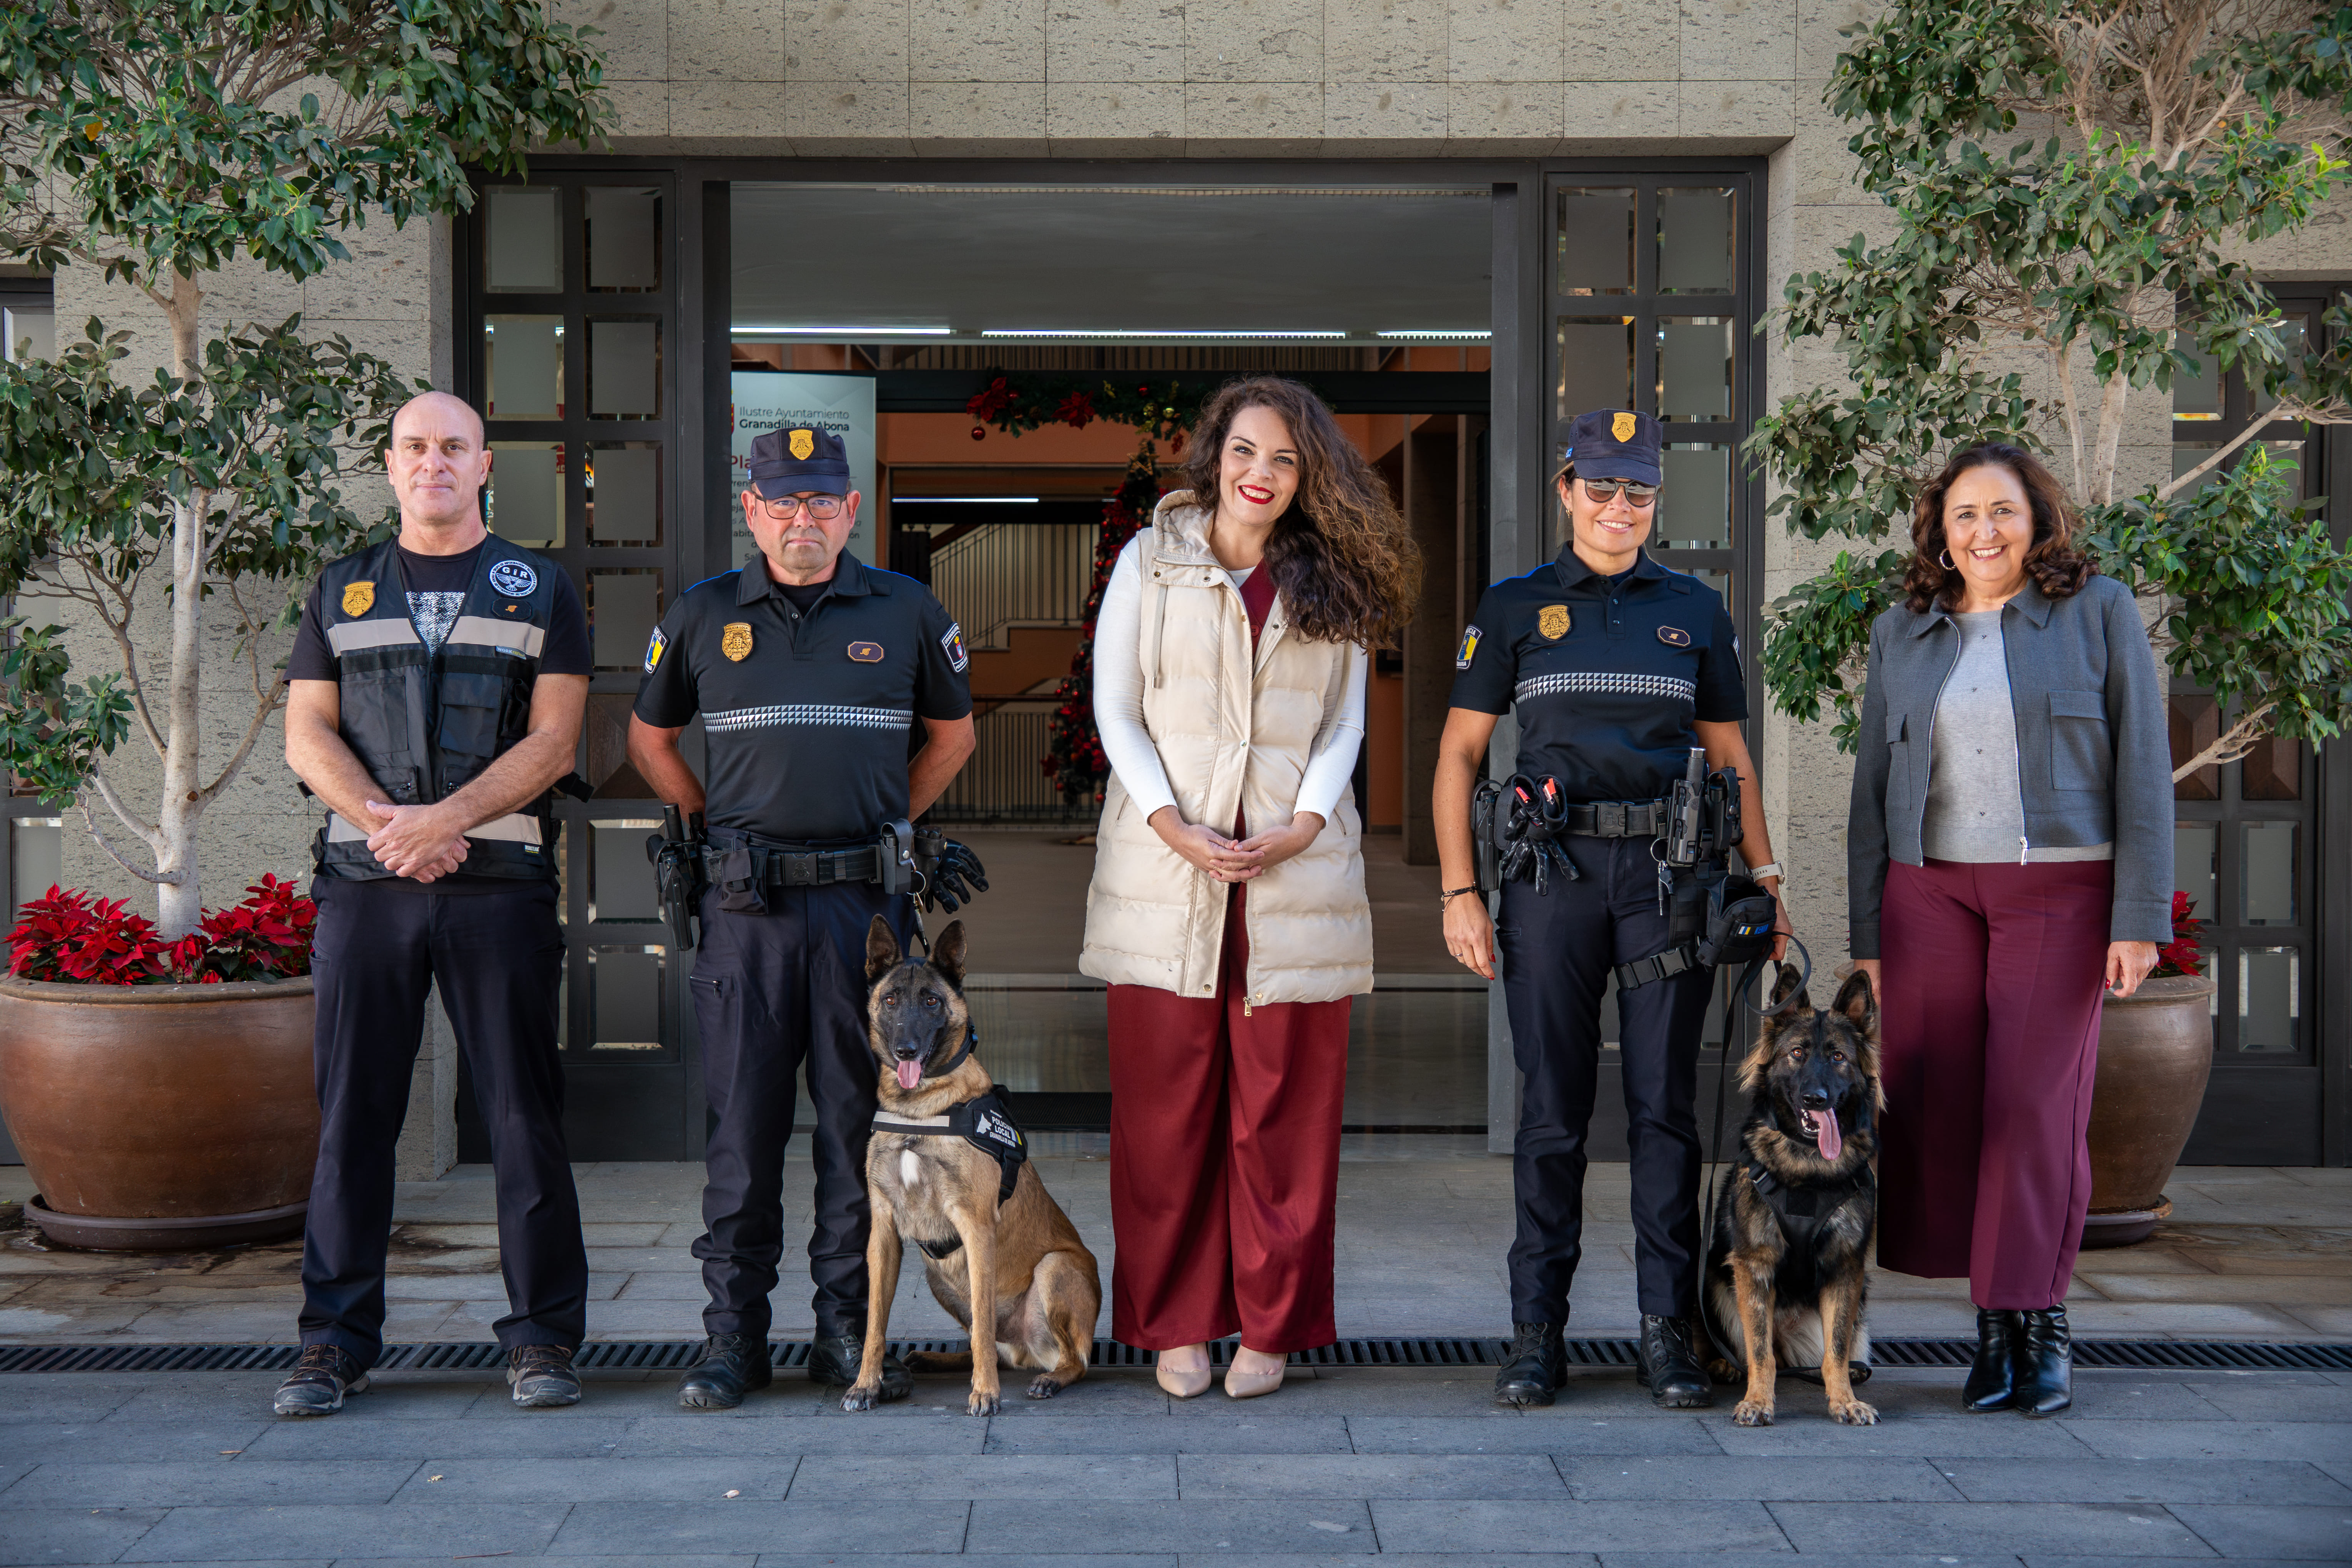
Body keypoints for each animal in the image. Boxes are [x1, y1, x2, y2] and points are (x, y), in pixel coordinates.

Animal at [846, 921, 1100, 1420]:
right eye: (890, 1000)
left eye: (931, 1000)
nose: (905, 1048)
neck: (921, 1107)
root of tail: (1027, 1351)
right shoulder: (882, 1232)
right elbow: (873, 1324)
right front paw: (866, 1383)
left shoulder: (977, 1228)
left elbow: (983, 1325)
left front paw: (985, 1393)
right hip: (937, 1277)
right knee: (989, 1344)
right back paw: (935, 1358)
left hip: (1054, 1267)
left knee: (1068, 1359)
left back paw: (1049, 1378)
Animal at [1703, 964, 1882, 1429]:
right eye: (1797, 1053)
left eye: (1837, 1057)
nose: (1814, 1099)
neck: (1807, 1166)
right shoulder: (1753, 1265)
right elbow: (1758, 1349)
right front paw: (1757, 1401)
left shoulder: (1845, 1268)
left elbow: (1835, 1349)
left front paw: (1844, 1400)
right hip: (1713, 1274)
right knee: (1737, 1345)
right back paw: (1723, 1365)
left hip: (1860, 1294)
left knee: (1829, 1353)